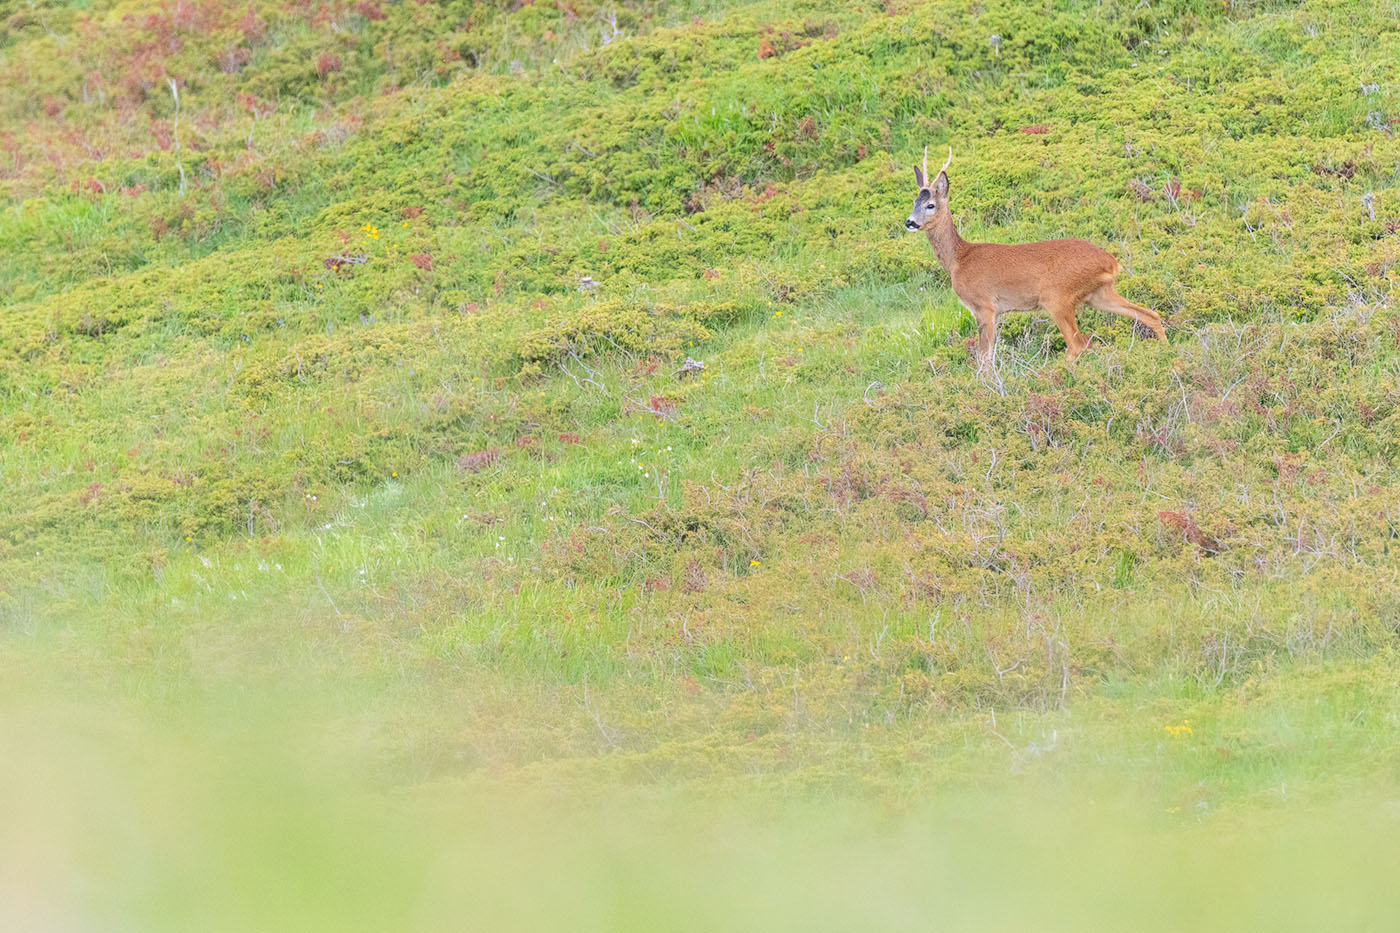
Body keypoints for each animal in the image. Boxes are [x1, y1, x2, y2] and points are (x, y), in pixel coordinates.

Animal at [901, 145, 1164, 369]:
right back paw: (1165, 349)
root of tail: (1111, 262)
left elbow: (984, 358)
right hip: (1098, 294)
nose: (910, 222)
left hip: (1057, 296)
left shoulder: (984, 305)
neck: (959, 260)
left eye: (931, 205)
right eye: (914, 202)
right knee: (1150, 314)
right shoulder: (997, 312)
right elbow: (988, 355)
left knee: (1077, 345)